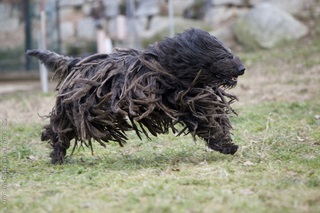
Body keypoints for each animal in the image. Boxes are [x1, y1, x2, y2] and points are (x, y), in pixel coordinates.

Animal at [27, 28, 246, 164]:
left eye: (229, 52)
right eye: (223, 56)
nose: (241, 68)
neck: (166, 66)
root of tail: (77, 63)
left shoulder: (191, 101)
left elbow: (210, 119)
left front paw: (225, 143)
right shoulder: (179, 100)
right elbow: (206, 122)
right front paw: (225, 144)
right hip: (79, 110)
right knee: (59, 129)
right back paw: (56, 153)